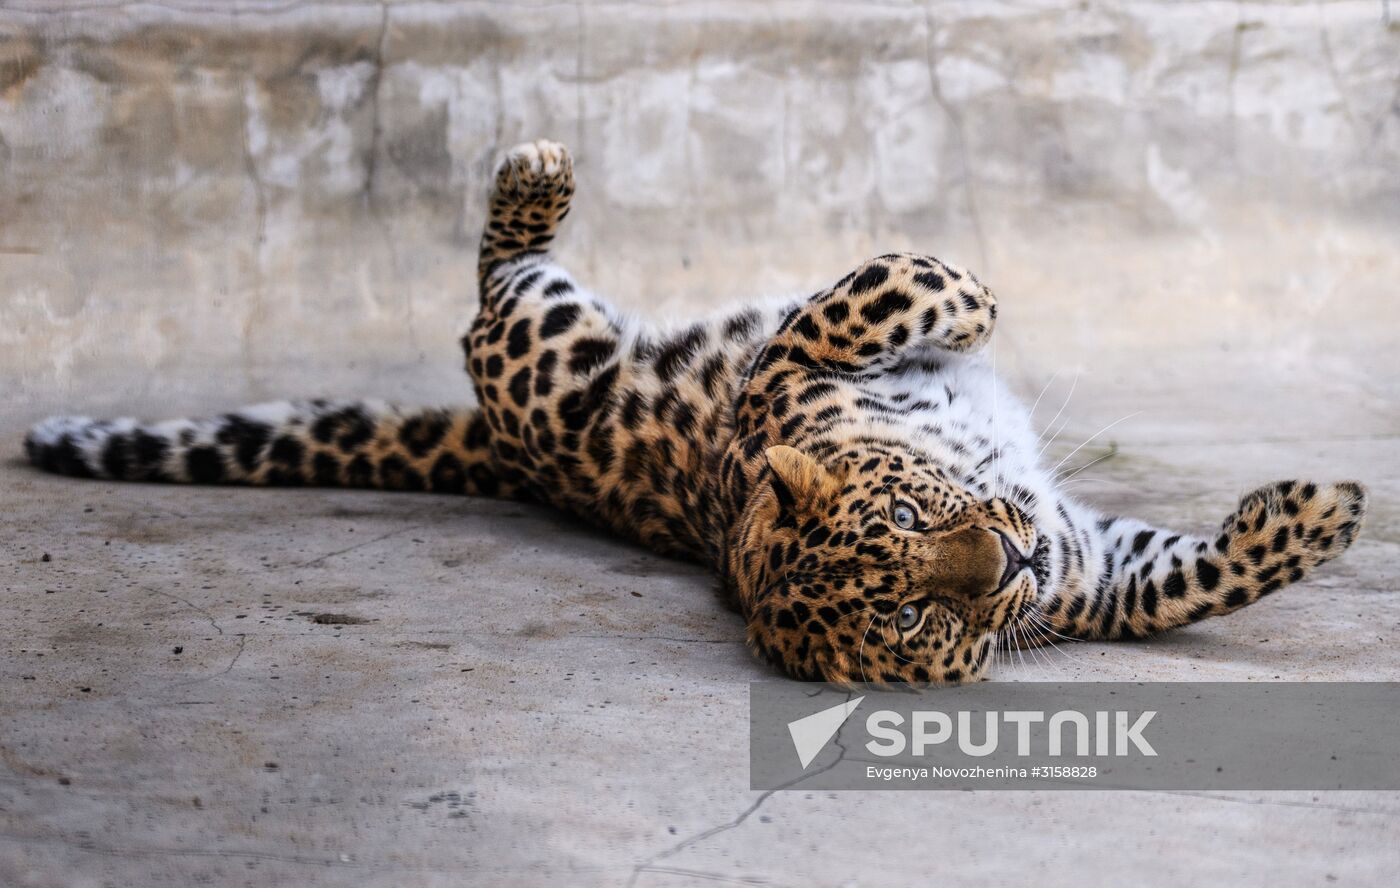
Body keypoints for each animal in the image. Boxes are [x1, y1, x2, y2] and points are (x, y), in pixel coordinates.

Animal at [24, 138, 1366, 683]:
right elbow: (880, 298)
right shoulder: (789, 386)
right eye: (915, 610)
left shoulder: (804, 381)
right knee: (487, 294)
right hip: (550, 361)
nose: (1009, 562)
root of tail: (514, 457)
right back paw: (534, 174)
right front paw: (975, 299)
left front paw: (1318, 514)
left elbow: (1192, 577)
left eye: (916, 518)